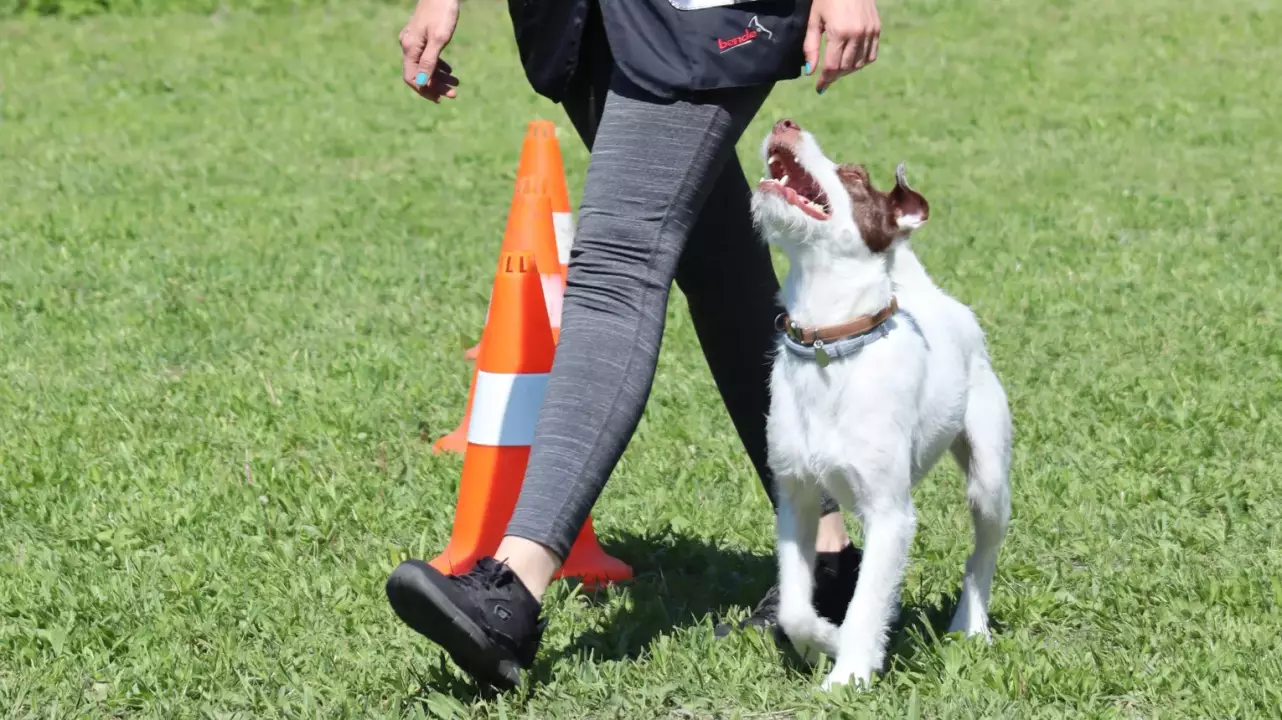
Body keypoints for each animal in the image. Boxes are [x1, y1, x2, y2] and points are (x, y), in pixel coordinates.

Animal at [748, 119, 1010, 691]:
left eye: (852, 177)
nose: (785, 122)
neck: (829, 347)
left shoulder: (890, 512)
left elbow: (868, 602)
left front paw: (848, 676)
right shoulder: (796, 496)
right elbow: (795, 608)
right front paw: (825, 640)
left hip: (989, 476)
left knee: (981, 554)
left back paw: (970, 624)